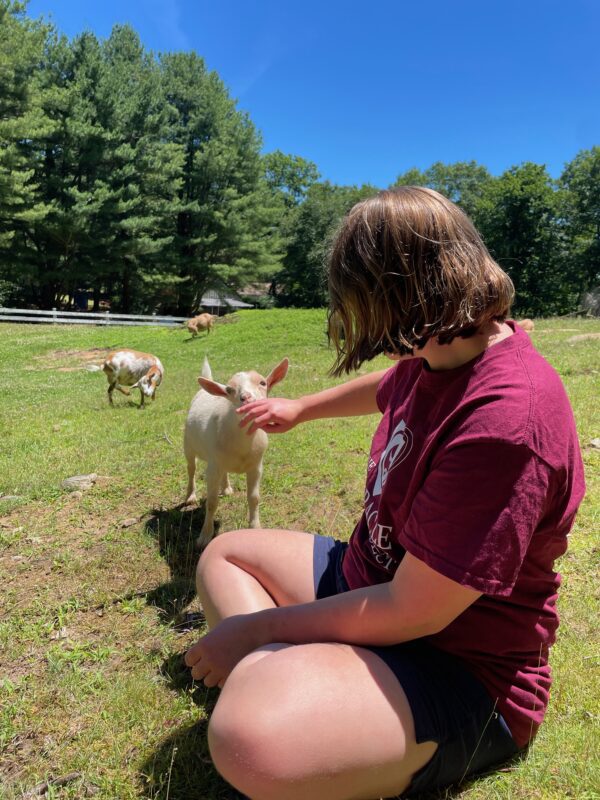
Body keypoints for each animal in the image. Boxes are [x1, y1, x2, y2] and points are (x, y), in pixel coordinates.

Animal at [184, 358, 290, 552]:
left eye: (263, 382)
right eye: (229, 390)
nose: (246, 398)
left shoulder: (256, 466)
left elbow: (254, 498)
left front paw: (255, 527)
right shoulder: (212, 468)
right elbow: (211, 502)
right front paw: (204, 536)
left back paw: (226, 488)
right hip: (188, 444)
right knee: (191, 469)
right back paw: (190, 496)